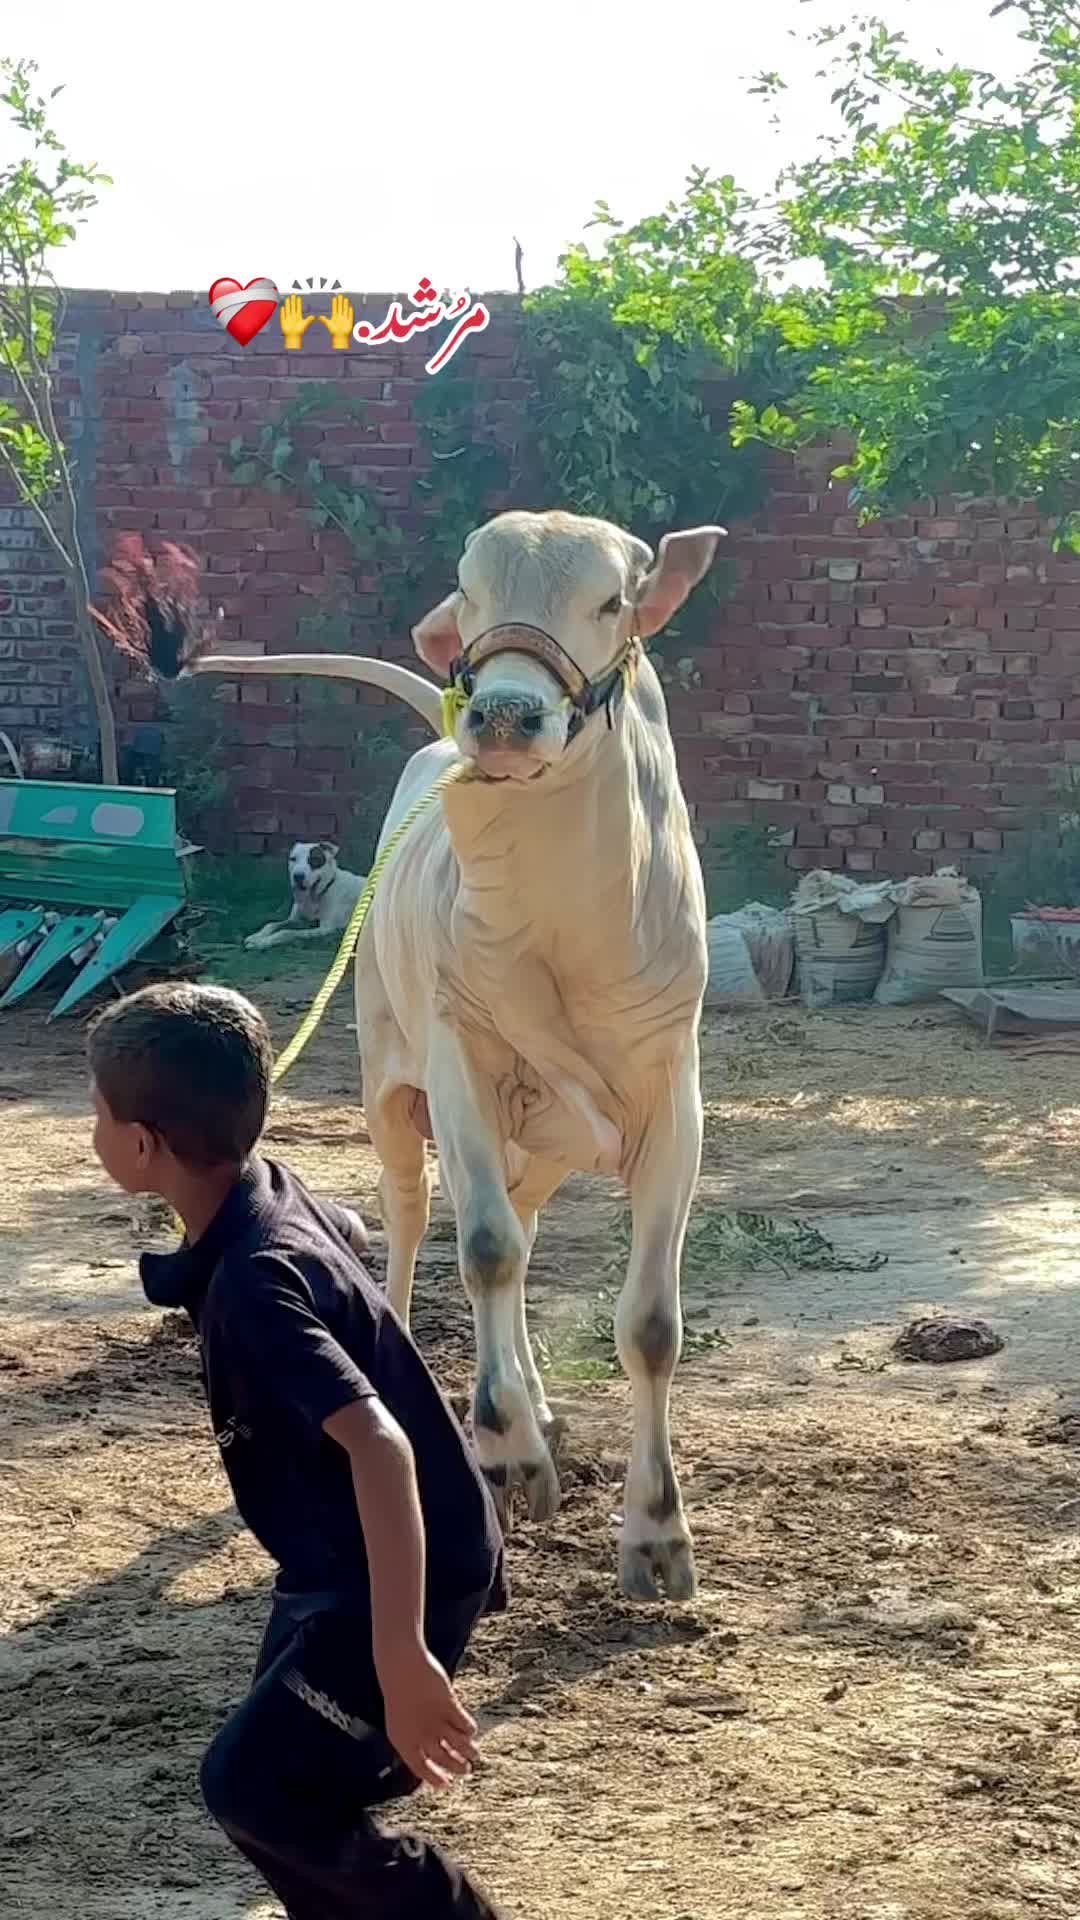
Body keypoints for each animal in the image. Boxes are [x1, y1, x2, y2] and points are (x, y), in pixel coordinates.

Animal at [191, 510, 724, 1601]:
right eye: (470, 591)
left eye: (612, 600)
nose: (506, 716)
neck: (561, 925)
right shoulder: (458, 1062)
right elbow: (481, 1250)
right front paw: (510, 1450)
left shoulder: (670, 1095)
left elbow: (649, 1322)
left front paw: (657, 1537)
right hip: (388, 1085)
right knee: (415, 1217)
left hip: (543, 1138)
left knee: (520, 1230)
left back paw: (537, 1398)